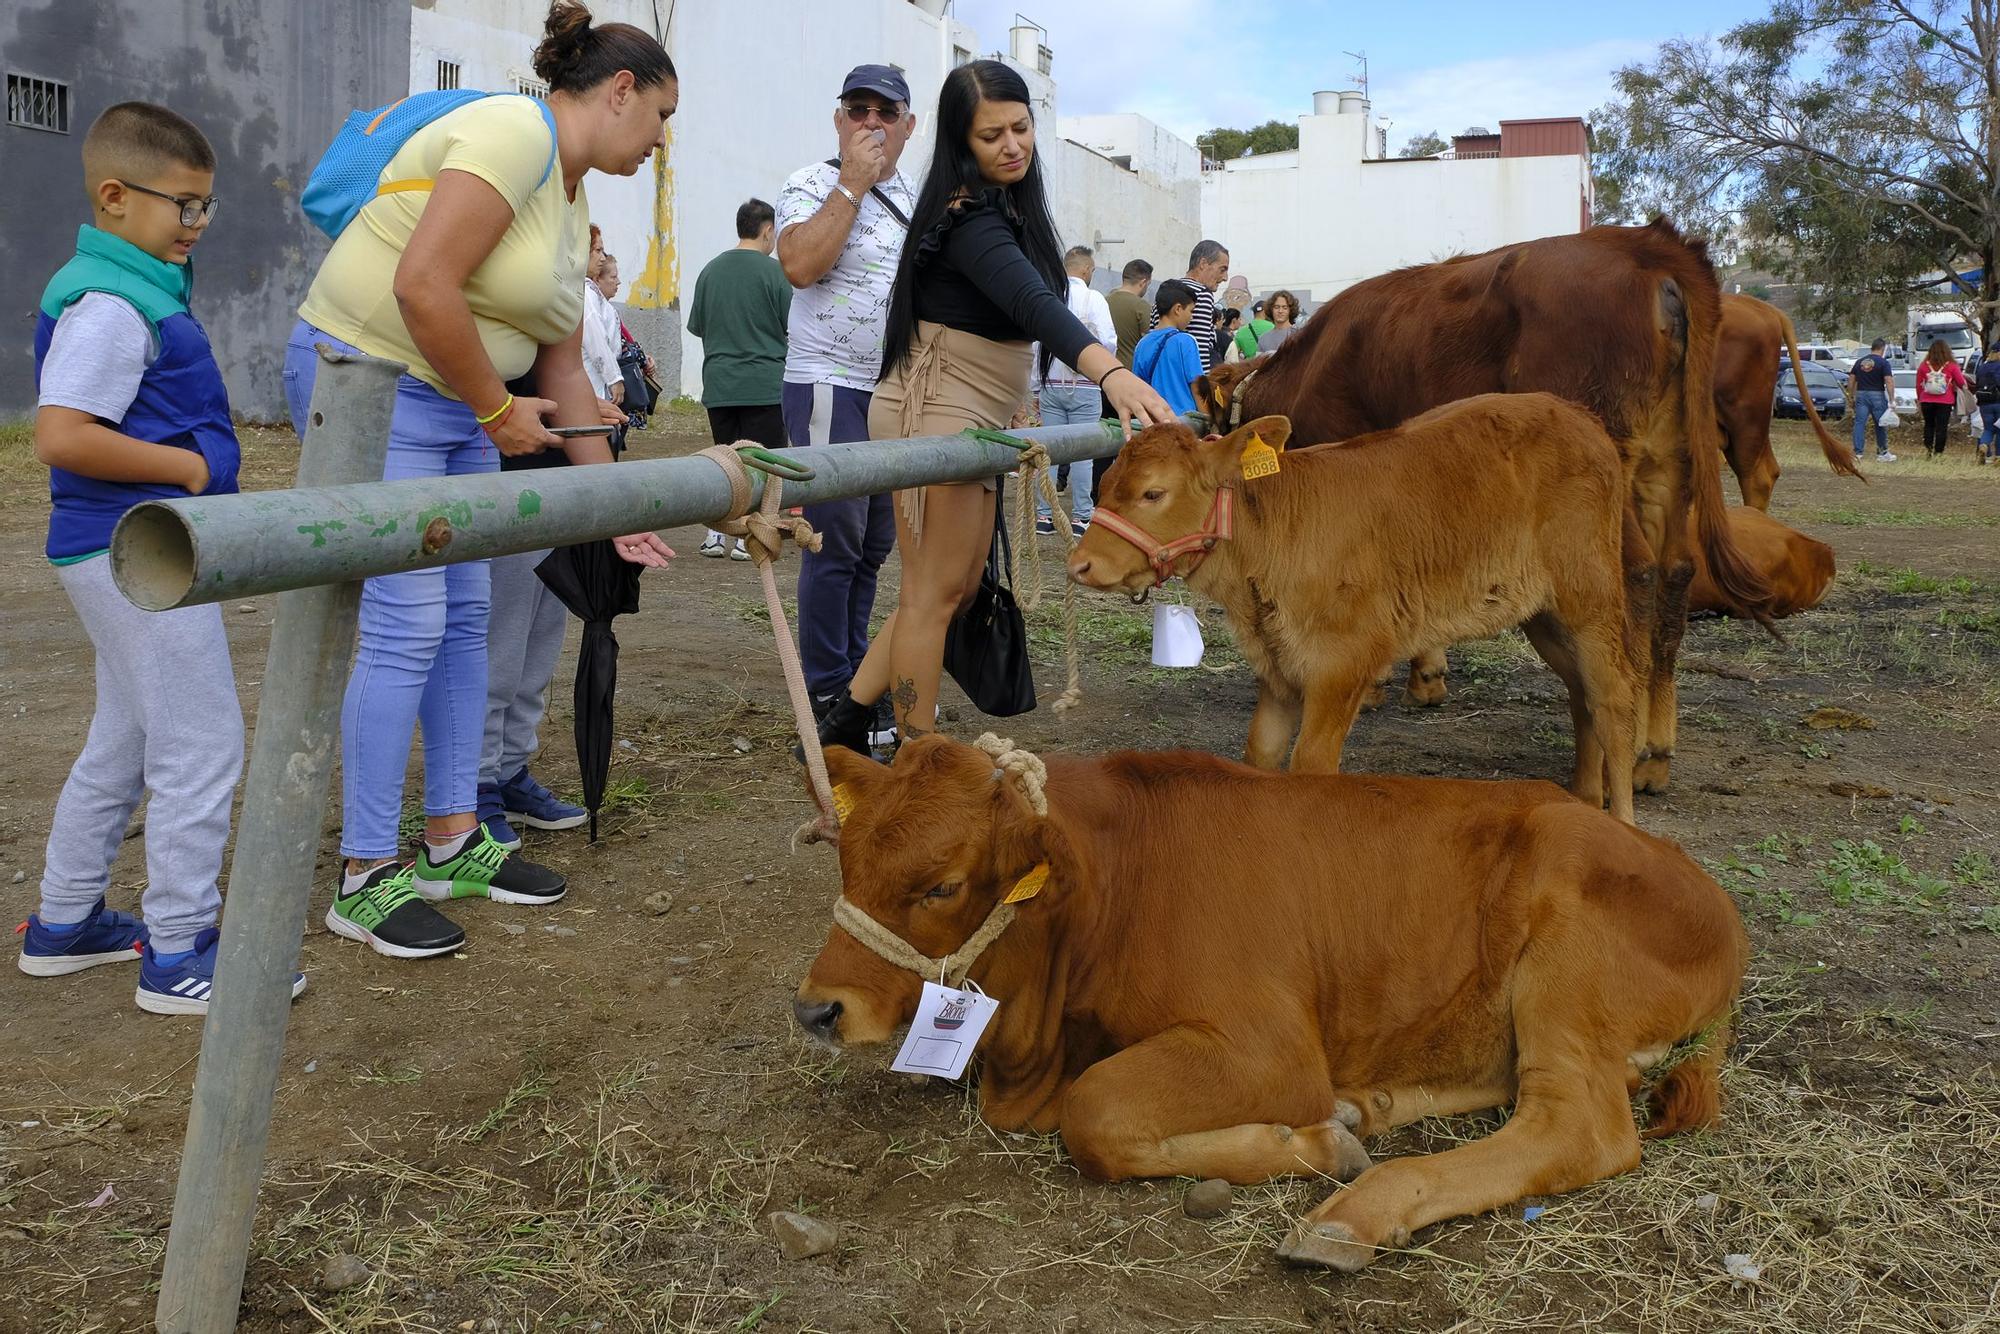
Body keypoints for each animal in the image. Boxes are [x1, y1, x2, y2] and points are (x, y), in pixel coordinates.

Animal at [788, 740, 1744, 1272]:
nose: (816, 1010)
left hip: (1566, 967)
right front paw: (1325, 1131)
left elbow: (1096, 1113)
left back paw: (1356, 1211)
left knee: (1579, 1125)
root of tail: (1713, 899)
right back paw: (1368, 1107)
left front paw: (1308, 1145)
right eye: (844, 860)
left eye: (942, 885)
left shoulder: (1272, 1050)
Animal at [1080, 400, 1640, 824]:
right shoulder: (1279, 667)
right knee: (1580, 692)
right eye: (1104, 485)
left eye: (1153, 492)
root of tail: (1577, 415)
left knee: (1612, 698)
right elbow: (1260, 754)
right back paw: (1584, 799)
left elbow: (1310, 764)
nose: (1079, 564)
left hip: (1591, 598)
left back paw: (1622, 822)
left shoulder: (1341, 663)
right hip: (1543, 614)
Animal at [1192, 224, 1776, 800]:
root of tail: (1646, 243)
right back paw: (1656, 750)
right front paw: (1427, 675)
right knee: (1677, 574)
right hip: (1669, 462)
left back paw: (1631, 742)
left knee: (1637, 577)